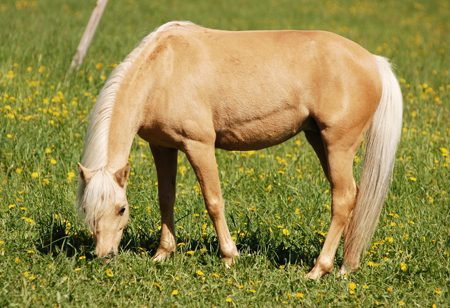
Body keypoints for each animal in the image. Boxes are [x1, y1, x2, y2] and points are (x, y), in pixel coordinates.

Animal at [75, 20, 402, 278]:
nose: (104, 256)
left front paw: (230, 257)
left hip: (338, 146)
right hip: (319, 141)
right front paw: (162, 254)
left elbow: (214, 201)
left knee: (343, 199)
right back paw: (348, 264)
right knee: (354, 195)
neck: (162, 69)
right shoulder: (162, 146)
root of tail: (372, 60)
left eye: (121, 209)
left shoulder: (199, 145)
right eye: (87, 209)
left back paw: (319, 270)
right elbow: (166, 199)